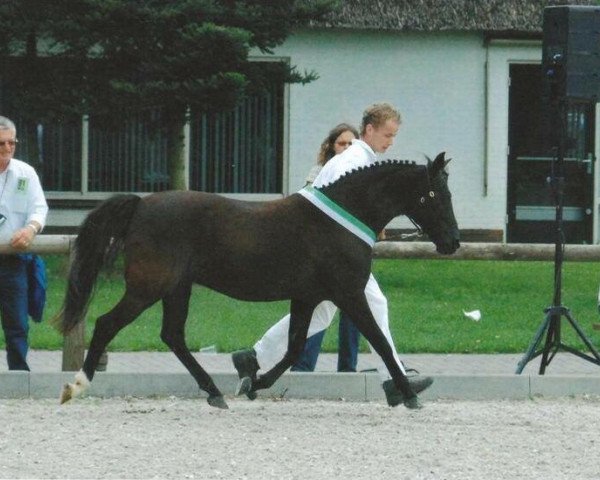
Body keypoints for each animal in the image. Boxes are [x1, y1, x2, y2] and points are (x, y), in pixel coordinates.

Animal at [57, 153, 460, 408]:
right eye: (435, 193)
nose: (453, 242)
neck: (339, 221)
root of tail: (140, 204)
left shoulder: (307, 296)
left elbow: (295, 347)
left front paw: (255, 382)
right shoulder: (348, 294)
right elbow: (379, 340)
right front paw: (410, 394)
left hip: (176, 289)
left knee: (172, 335)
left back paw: (214, 391)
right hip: (148, 287)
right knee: (107, 323)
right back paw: (77, 385)